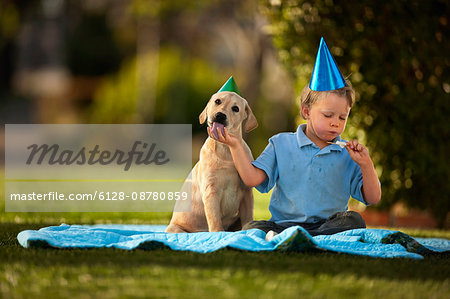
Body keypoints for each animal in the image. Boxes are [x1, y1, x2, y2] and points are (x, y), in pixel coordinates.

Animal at [165, 91, 256, 234]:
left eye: (235, 108)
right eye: (217, 101)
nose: (220, 115)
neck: (226, 150)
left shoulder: (247, 192)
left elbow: (248, 217)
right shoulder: (211, 191)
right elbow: (214, 218)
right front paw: (218, 233)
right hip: (176, 228)